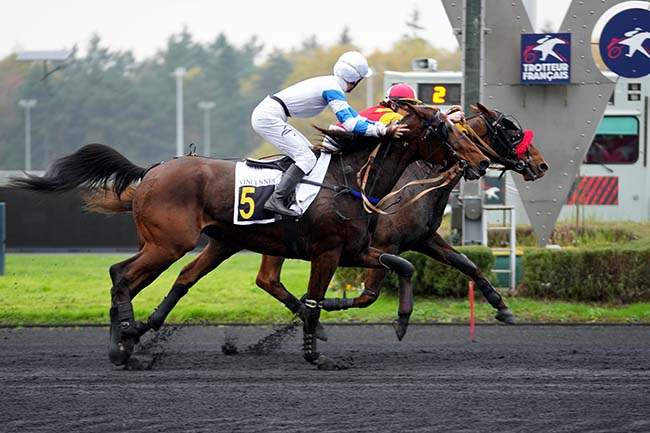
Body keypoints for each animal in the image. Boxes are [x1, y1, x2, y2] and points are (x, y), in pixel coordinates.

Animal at [8, 104, 486, 364]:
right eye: (444, 128)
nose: (479, 163)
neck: (348, 177)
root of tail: (153, 170)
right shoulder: (327, 253)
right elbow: (315, 302)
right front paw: (314, 353)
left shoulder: (354, 250)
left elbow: (402, 264)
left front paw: (402, 321)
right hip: (169, 243)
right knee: (122, 275)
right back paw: (124, 338)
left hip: (205, 243)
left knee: (151, 278)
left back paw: (130, 336)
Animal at [253, 102, 548, 338]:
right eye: (513, 134)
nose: (541, 164)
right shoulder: (384, 245)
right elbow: (368, 296)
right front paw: (326, 304)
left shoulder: (424, 239)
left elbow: (466, 263)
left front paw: (502, 307)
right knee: (268, 281)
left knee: (267, 280)